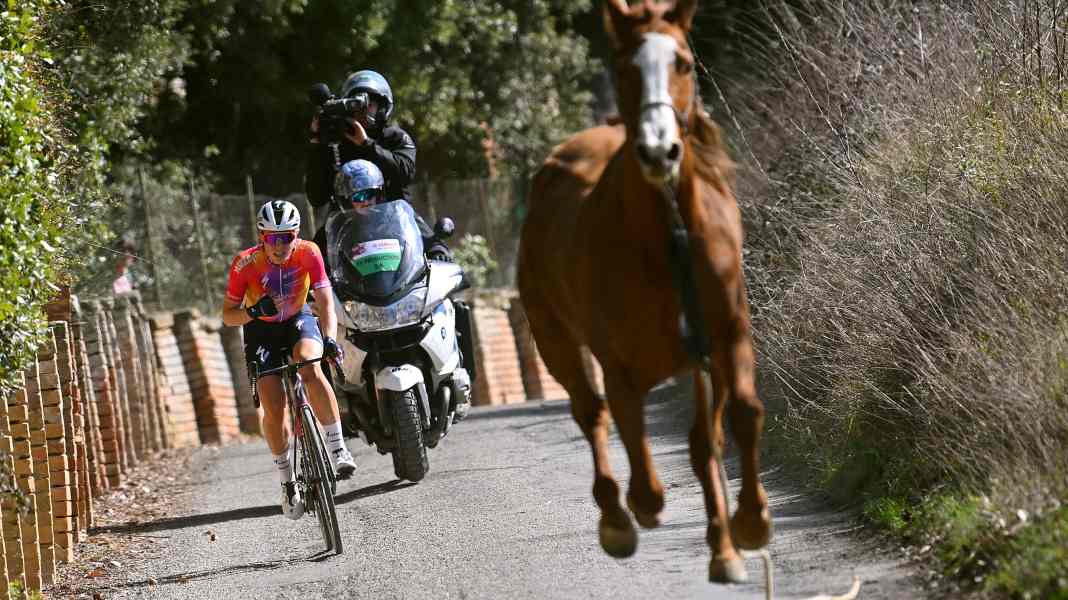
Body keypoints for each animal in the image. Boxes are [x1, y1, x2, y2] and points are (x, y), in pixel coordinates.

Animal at [517, 0, 771, 585]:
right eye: (625, 67)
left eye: (683, 62)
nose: (659, 150)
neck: (667, 233)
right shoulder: (621, 366)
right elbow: (638, 450)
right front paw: (643, 510)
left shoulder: (724, 339)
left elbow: (736, 420)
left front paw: (745, 530)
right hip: (555, 341)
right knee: (590, 413)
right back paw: (617, 518)